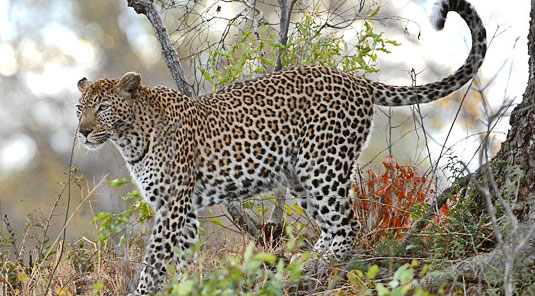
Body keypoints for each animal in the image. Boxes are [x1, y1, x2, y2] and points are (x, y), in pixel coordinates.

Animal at [75, 1, 486, 294]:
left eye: (103, 107)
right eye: (81, 108)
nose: (82, 131)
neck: (130, 137)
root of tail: (355, 80)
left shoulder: (173, 204)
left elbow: (154, 259)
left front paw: (145, 290)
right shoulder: (183, 208)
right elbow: (180, 258)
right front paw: (182, 285)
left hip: (322, 166)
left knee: (348, 226)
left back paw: (313, 268)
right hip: (303, 175)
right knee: (332, 226)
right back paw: (301, 264)